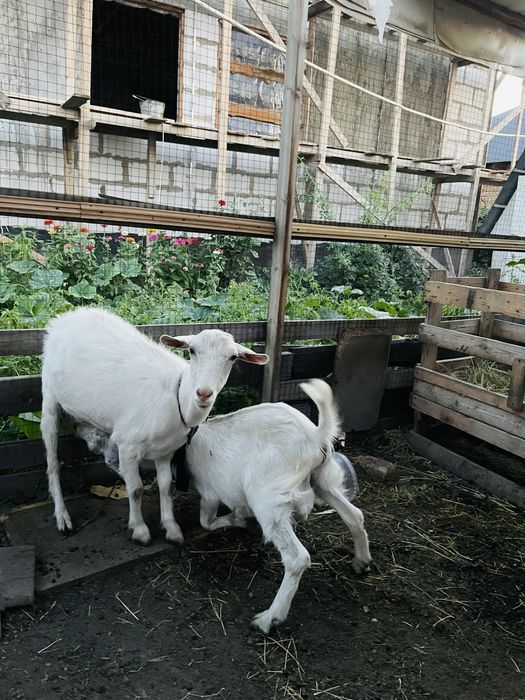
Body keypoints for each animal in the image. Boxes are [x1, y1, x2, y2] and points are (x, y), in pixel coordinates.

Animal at [40, 307, 268, 545]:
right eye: (192, 351)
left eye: (232, 357)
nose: (204, 393)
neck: (178, 397)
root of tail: (67, 316)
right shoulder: (128, 445)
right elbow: (135, 490)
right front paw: (140, 530)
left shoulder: (165, 450)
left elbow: (167, 487)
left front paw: (171, 527)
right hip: (49, 398)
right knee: (53, 463)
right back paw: (62, 517)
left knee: (99, 447)